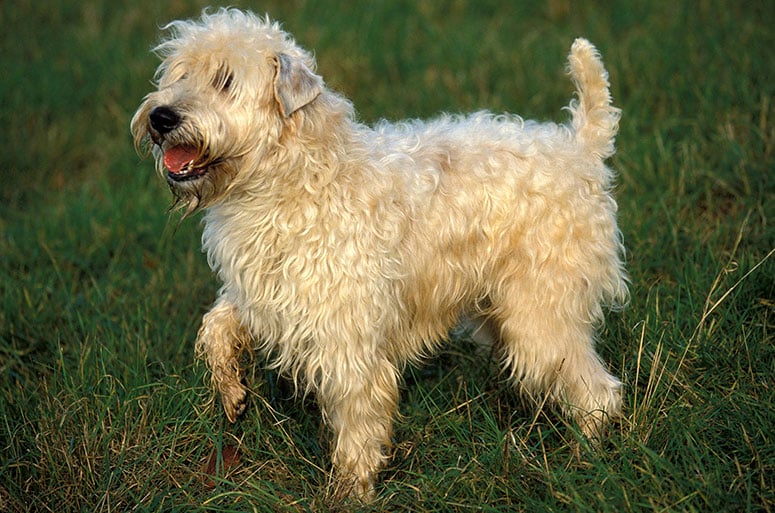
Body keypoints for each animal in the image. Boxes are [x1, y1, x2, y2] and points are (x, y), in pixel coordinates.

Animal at [132, 8, 632, 500]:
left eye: (226, 80)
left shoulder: (346, 335)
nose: (160, 117)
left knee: (598, 392)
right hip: (505, 309)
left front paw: (350, 491)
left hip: (540, 316)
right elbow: (216, 324)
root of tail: (581, 149)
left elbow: (357, 418)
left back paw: (582, 462)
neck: (292, 176)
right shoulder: (267, 293)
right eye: (179, 73)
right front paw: (232, 393)